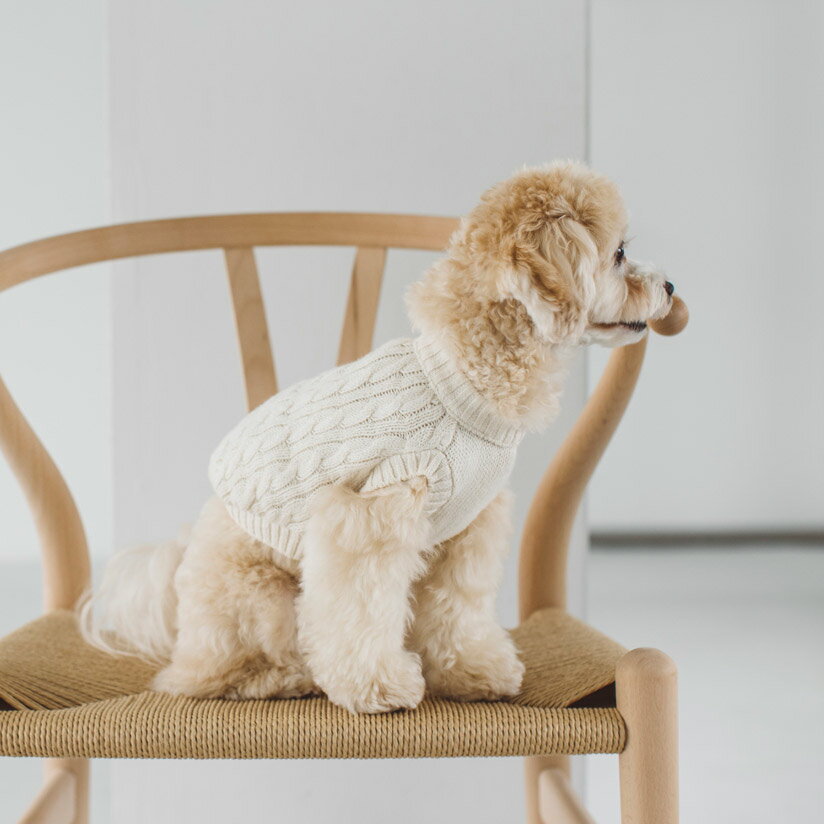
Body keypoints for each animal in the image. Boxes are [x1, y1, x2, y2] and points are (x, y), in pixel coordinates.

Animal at [77, 163, 672, 716]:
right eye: (619, 253)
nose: (669, 287)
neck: (460, 376)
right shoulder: (369, 515)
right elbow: (361, 613)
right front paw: (378, 688)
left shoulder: (468, 532)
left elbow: (460, 609)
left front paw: (474, 671)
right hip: (261, 598)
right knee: (216, 675)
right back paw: (281, 677)